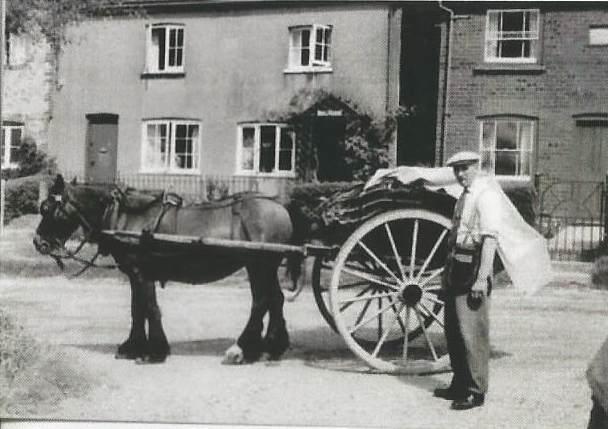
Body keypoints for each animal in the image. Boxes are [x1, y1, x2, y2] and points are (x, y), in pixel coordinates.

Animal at [33, 174, 300, 364]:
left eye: (48, 209)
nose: (38, 242)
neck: (128, 216)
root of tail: (280, 207)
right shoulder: (134, 275)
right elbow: (137, 309)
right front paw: (132, 347)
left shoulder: (142, 272)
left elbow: (149, 307)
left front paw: (154, 352)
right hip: (260, 267)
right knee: (273, 299)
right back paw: (268, 349)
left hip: (260, 265)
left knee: (262, 301)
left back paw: (242, 348)